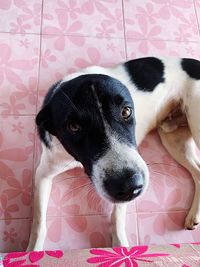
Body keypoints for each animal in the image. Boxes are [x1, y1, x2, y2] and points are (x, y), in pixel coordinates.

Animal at [26, 56, 200, 251]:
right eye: (73, 127)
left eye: (126, 111)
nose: (131, 187)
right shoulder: (43, 173)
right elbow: (38, 221)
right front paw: (32, 252)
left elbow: (117, 217)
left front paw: (120, 247)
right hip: (171, 138)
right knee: (198, 172)